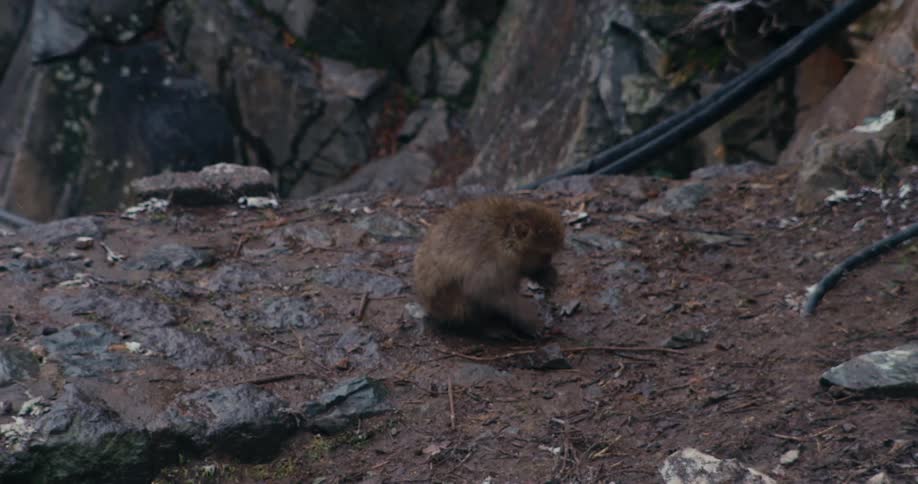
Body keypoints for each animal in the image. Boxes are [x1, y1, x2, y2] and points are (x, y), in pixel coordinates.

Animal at [413, 196, 565, 339]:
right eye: (546, 255)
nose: (547, 263)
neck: (506, 238)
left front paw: (547, 276)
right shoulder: (494, 262)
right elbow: (484, 291)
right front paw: (530, 322)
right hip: (448, 305)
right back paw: (486, 327)